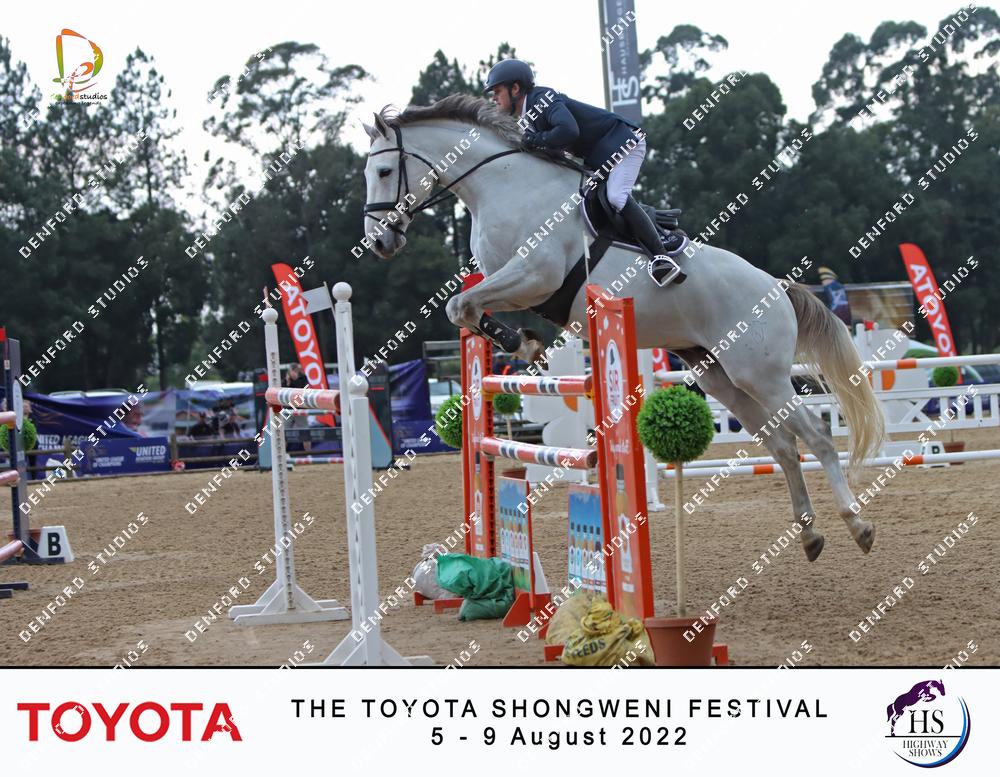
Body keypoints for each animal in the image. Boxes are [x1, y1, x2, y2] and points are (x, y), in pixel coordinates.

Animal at [360, 94, 885, 562]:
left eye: (384, 172)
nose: (379, 242)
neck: (502, 185)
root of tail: (778, 287)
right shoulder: (509, 284)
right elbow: (462, 309)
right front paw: (523, 344)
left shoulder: (534, 277)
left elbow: (461, 304)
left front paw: (524, 346)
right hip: (722, 377)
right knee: (783, 445)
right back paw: (809, 534)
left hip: (762, 376)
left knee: (816, 437)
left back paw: (857, 524)